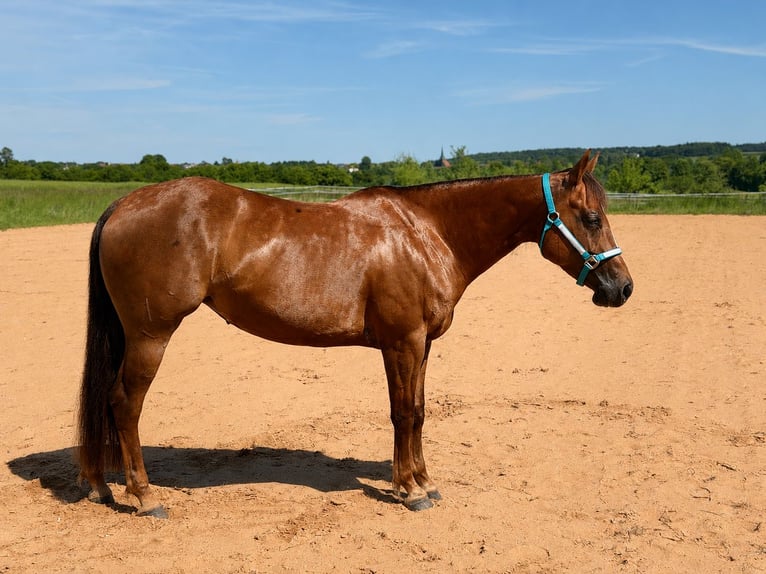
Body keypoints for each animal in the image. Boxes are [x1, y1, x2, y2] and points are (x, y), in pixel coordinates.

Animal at [77, 150, 632, 518]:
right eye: (591, 217)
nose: (622, 288)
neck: (425, 233)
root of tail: (123, 205)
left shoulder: (419, 345)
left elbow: (418, 412)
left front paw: (424, 481)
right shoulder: (403, 342)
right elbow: (404, 413)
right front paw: (410, 491)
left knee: (107, 401)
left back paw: (102, 487)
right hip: (150, 335)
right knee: (124, 403)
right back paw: (144, 496)